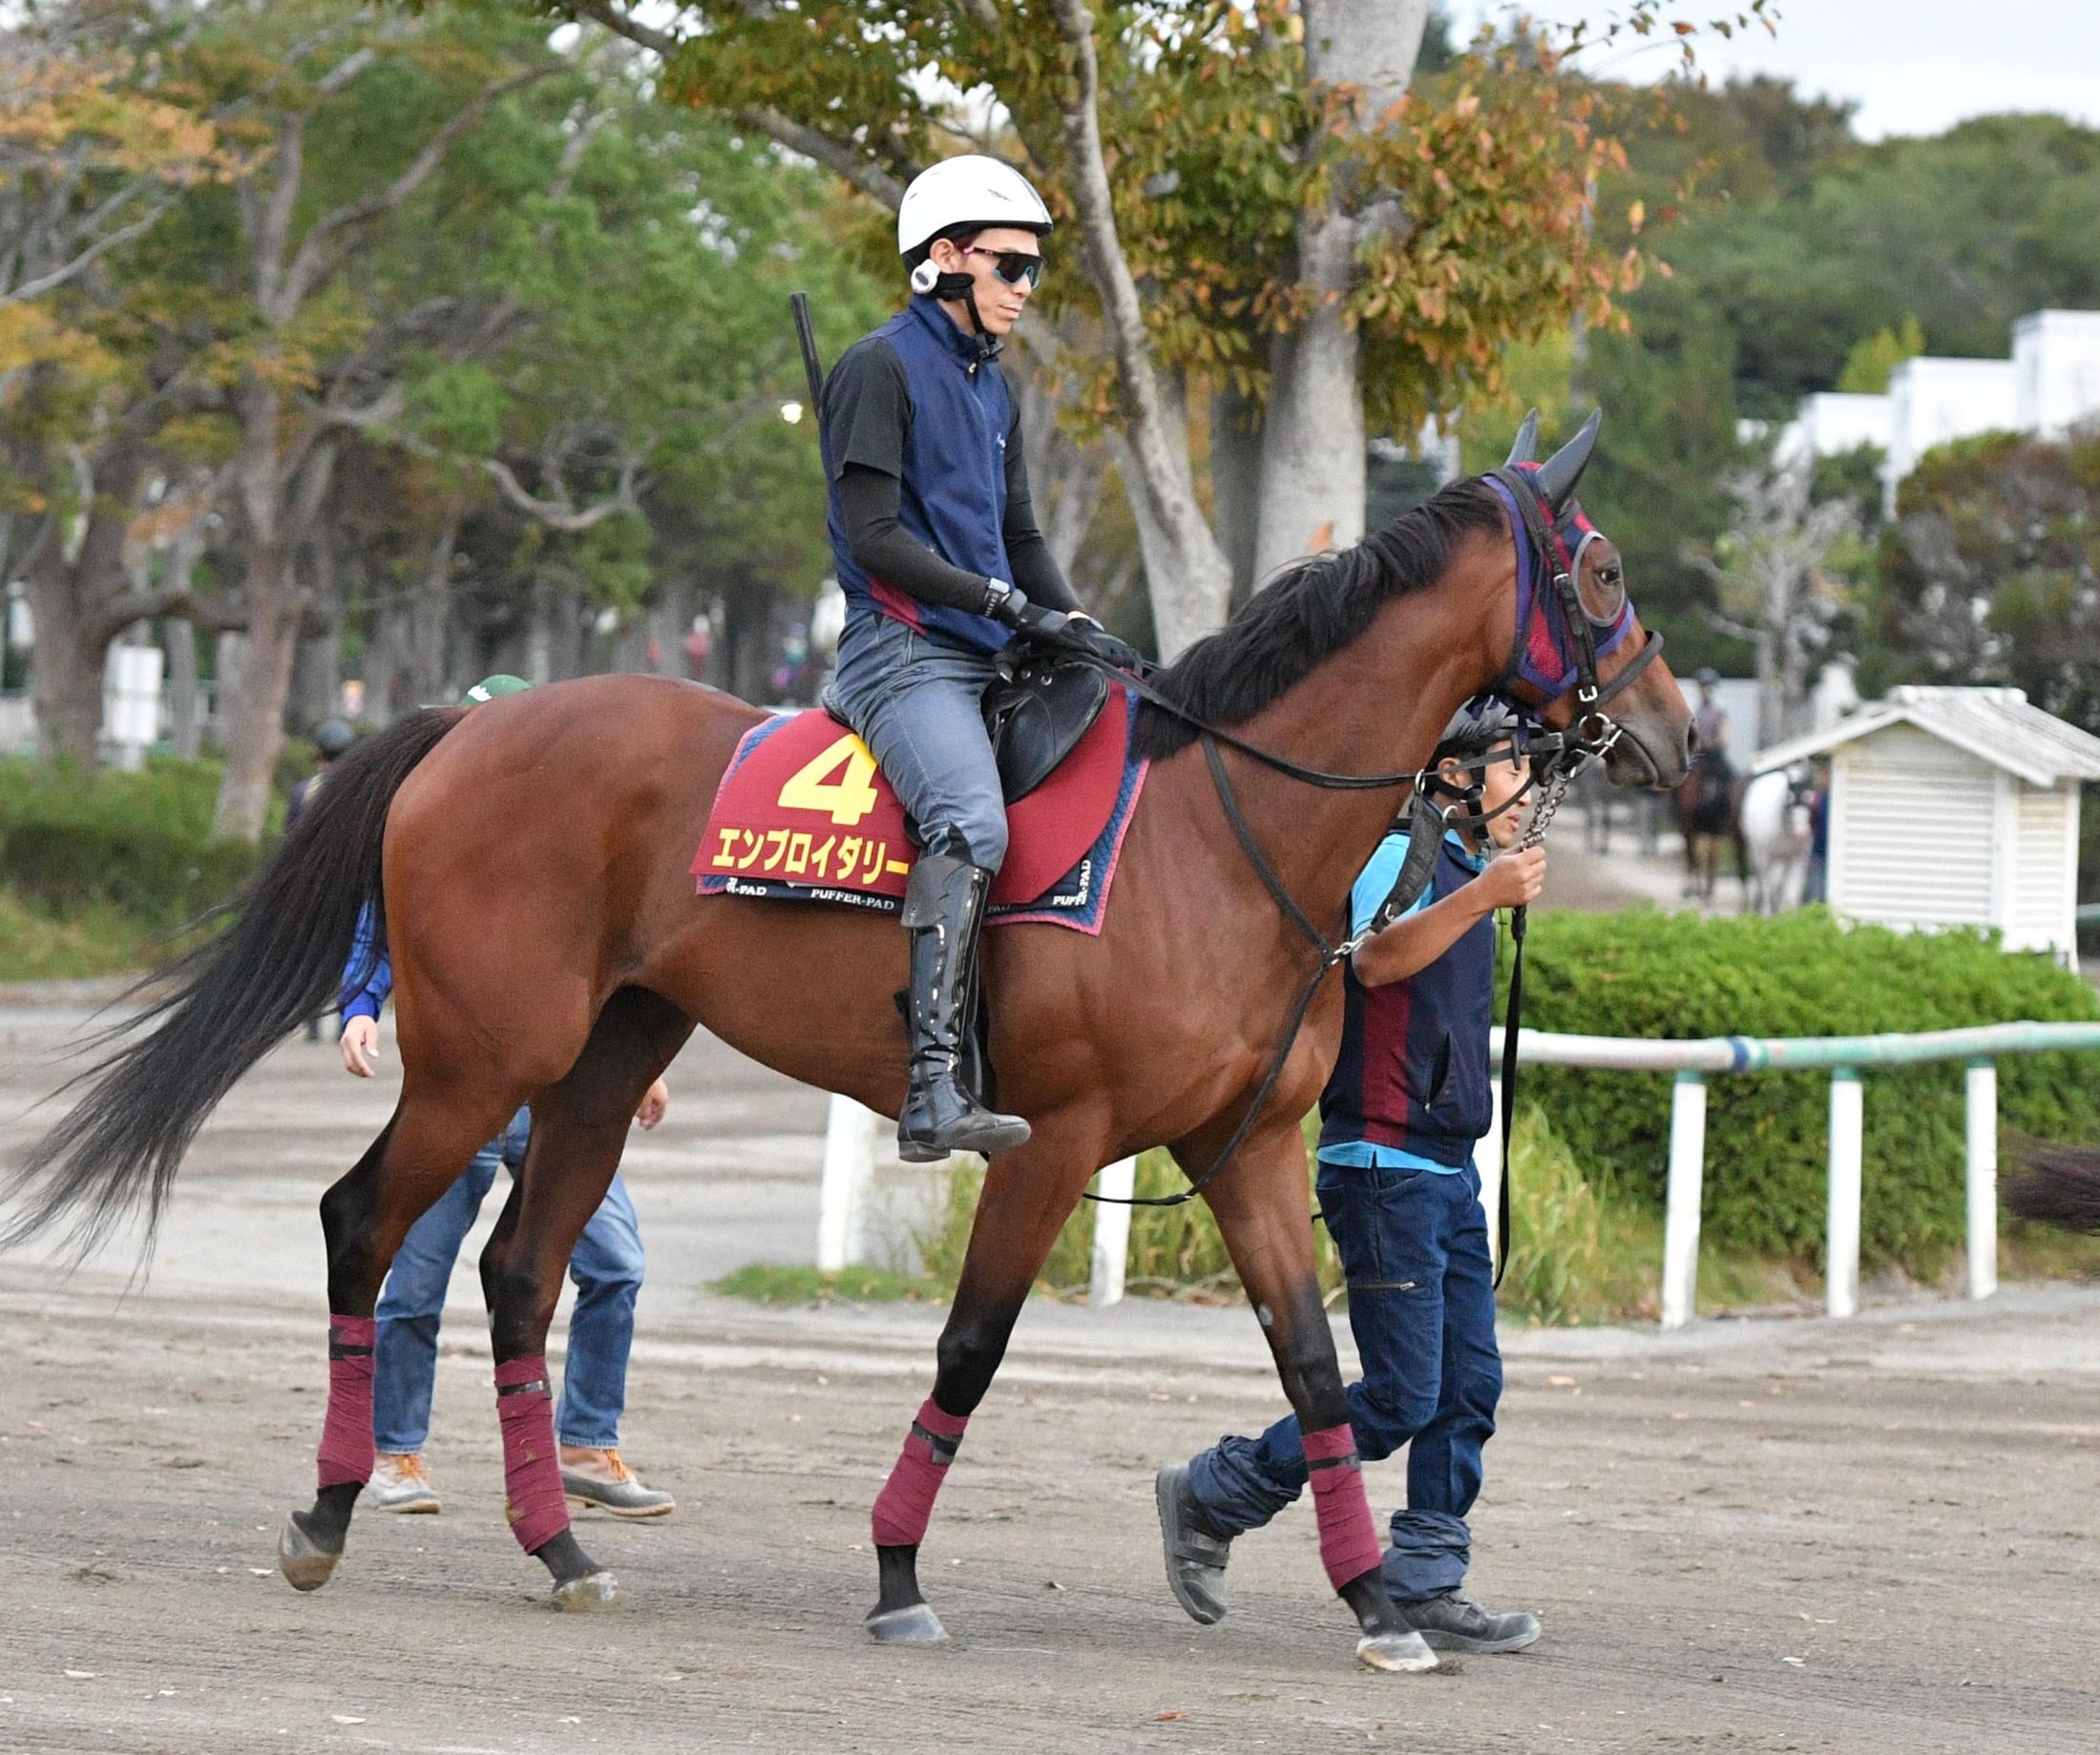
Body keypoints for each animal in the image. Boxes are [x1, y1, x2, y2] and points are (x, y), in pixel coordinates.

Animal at [3, 415, 1691, 1673]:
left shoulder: (1249, 1146)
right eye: (1603, 567)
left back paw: (560, 1541)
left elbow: (1322, 1369)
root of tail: (471, 720)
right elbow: (970, 1348)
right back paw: (331, 1513)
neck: (1226, 830)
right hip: (486, 1057)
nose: (1678, 732)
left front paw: (1372, 1601)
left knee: (522, 1269)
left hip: (606, 1059)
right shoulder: (1056, 1141)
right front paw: (894, 1568)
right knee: (363, 1221)